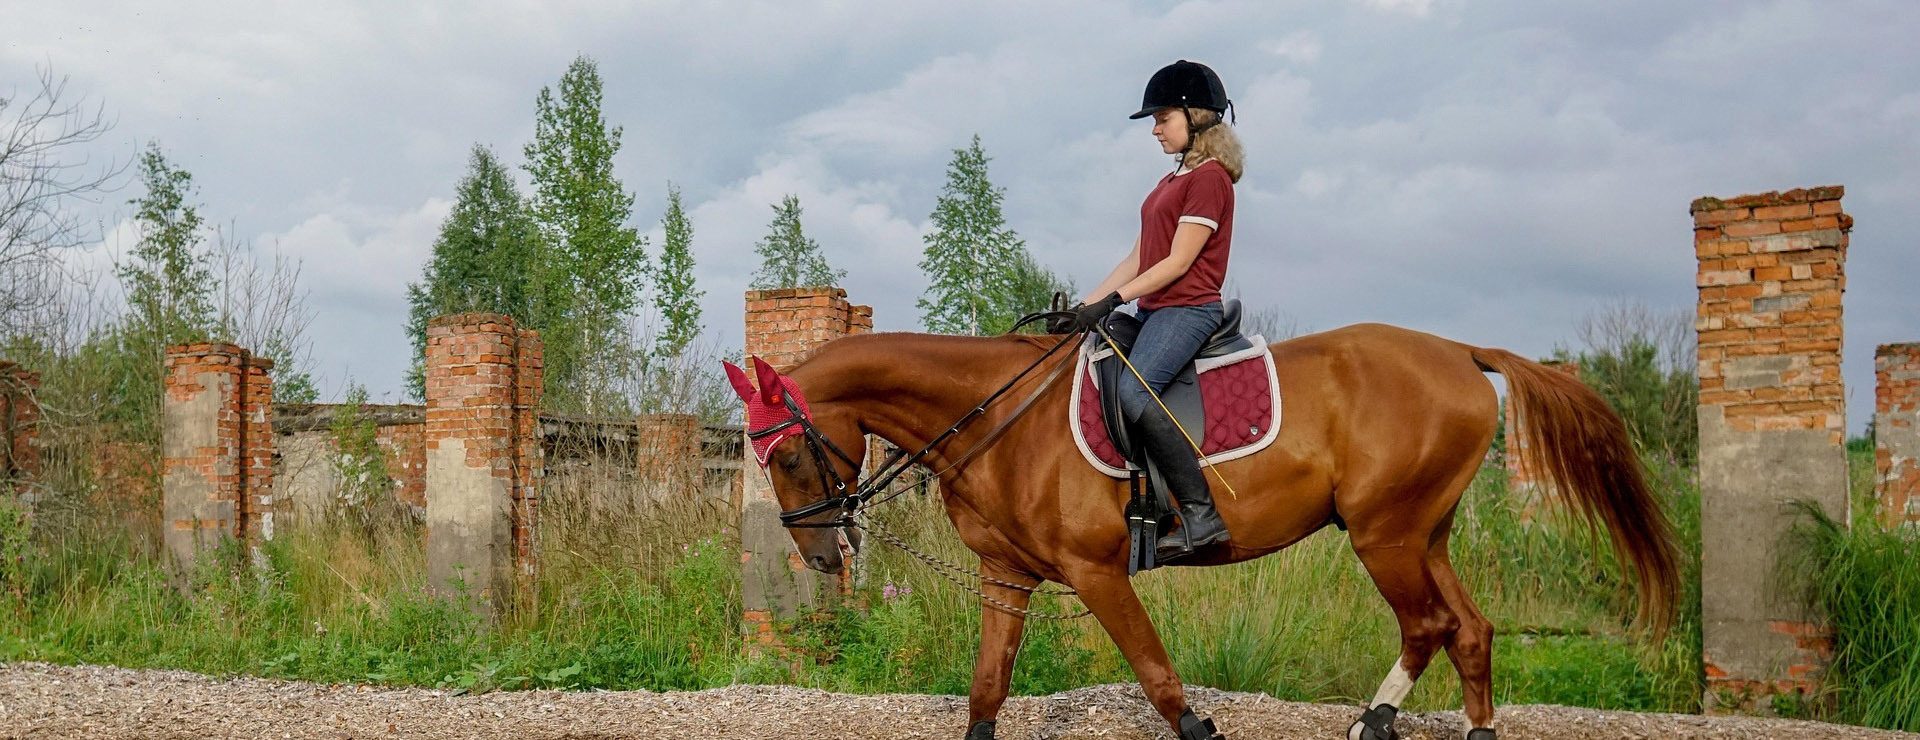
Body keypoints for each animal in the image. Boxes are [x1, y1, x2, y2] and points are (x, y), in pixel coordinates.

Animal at [722, 322, 1681, 740]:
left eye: (791, 456)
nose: (820, 553)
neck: (997, 419)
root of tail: (1457, 352)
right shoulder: (1008, 578)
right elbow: (986, 692)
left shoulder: (1097, 574)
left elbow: (1160, 682)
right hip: (1423, 532)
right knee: (1469, 629)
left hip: (1386, 535)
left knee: (1430, 625)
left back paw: (1374, 722)